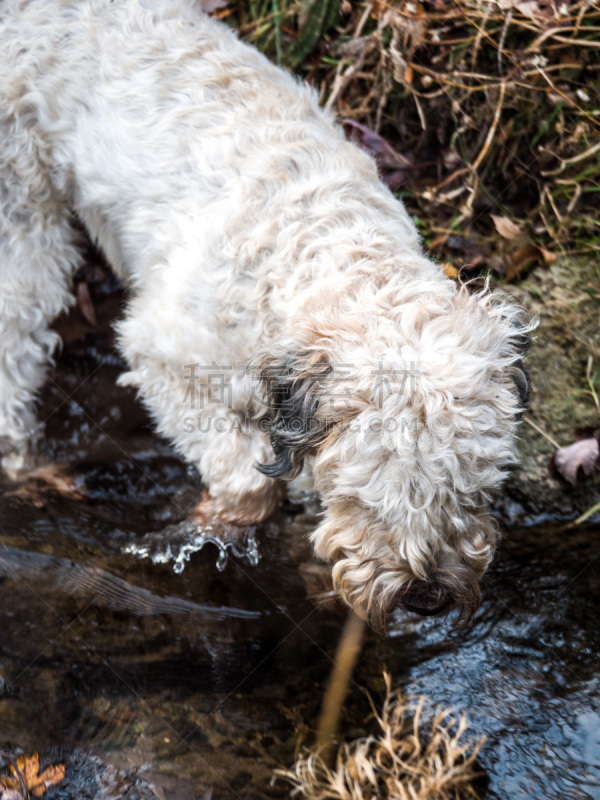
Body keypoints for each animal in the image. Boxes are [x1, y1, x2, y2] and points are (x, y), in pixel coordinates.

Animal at [0, 0, 528, 624]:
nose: (428, 597)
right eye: (373, 493)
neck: (317, 253)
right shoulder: (166, 358)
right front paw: (223, 529)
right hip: (21, 213)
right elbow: (246, 479)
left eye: (470, 490)